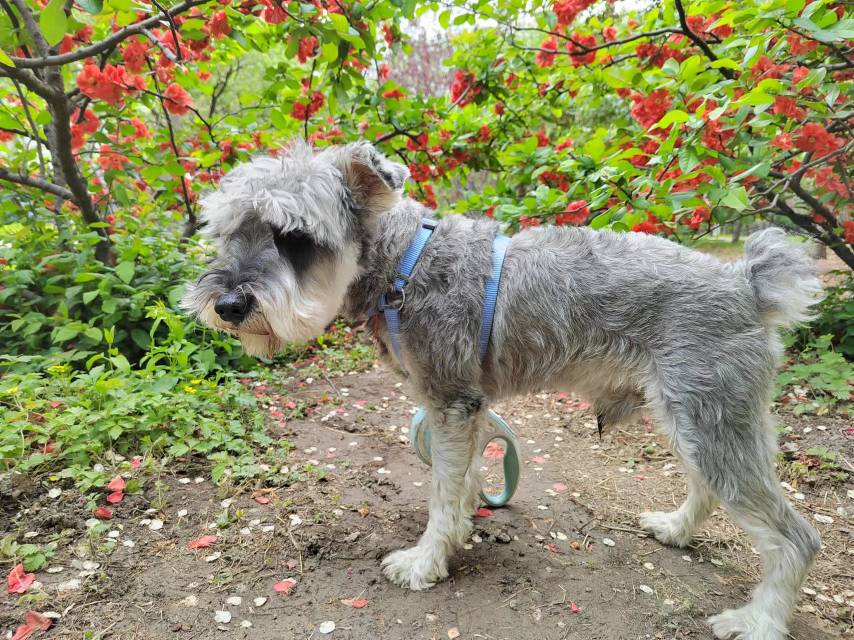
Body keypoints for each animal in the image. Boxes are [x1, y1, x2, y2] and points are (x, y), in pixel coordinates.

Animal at [184, 140, 824, 640]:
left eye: (294, 235)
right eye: (226, 230)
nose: (229, 305)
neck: (403, 262)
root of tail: (747, 284)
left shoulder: (450, 402)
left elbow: (441, 495)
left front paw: (423, 562)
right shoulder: (463, 409)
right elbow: (460, 480)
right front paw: (464, 524)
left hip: (710, 419)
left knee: (794, 538)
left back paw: (756, 621)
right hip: (697, 417)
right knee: (711, 488)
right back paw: (675, 529)